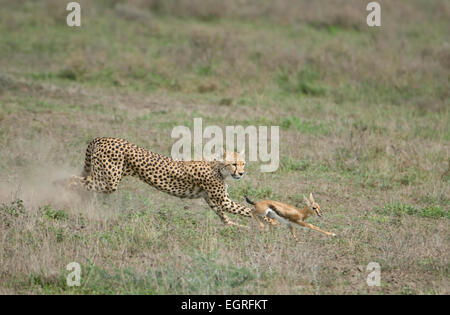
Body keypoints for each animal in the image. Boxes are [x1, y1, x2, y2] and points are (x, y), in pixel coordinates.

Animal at [67, 137, 270, 228]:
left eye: (243, 163)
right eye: (234, 164)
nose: (241, 173)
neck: (217, 167)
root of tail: (105, 138)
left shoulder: (212, 200)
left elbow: (225, 216)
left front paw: (237, 227)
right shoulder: (224, 200)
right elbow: (249, 210)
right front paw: (271, 223)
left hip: (101, 177)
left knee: (80, 182)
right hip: (108, 181)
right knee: (71, 180)